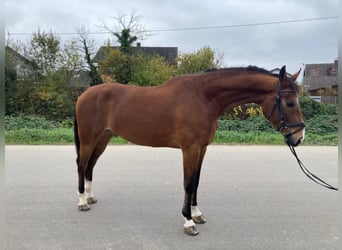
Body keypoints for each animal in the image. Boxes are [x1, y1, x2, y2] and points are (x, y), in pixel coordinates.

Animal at [74, 65, 304, 235]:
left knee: (91, 165)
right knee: (82, 164)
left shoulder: (202, 148)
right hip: (88, 140)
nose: (299, 138)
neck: (202, 97)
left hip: (103, 138)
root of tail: (84, 94)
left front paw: (197, 214)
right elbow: (188, 183)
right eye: (290, 103)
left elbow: (196, 181)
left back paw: (90, 196)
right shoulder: (190, 149)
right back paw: (82, 201)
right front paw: (188, 221)